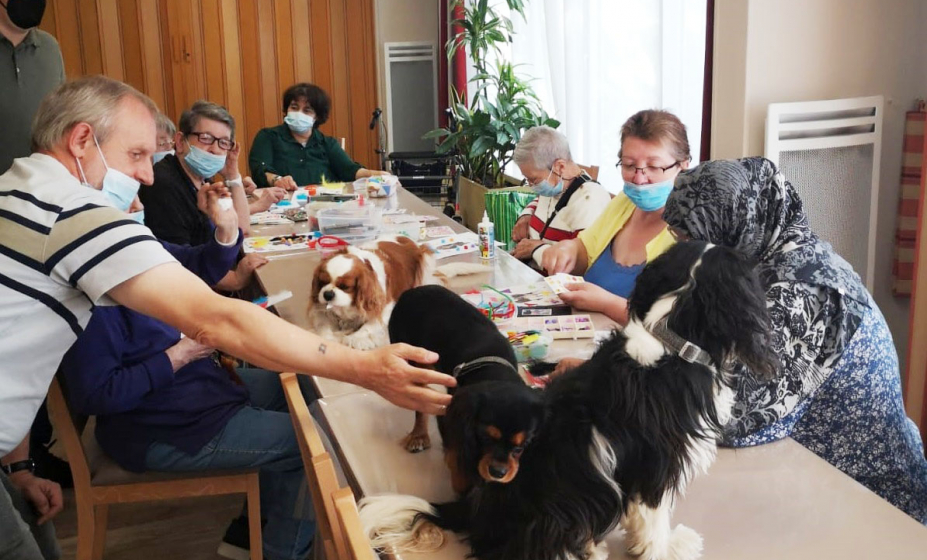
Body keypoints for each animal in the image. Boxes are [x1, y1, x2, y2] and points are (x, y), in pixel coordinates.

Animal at [310, 236, 490, 350]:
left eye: (345, 286)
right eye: (323, 282)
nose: (328, 295)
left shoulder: (387, 305)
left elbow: (371, 325)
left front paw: (357, 337)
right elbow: (324, 324)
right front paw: (329, 337)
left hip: (424, 262)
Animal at [386, 284, 544, 494]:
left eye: (523, 445)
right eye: (485, 437)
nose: (498, 473)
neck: (493, 367)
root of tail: (410, 292)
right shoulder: (450, 415)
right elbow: (456, 455)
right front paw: (463, 487)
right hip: (414, 358)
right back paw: (419, 435)